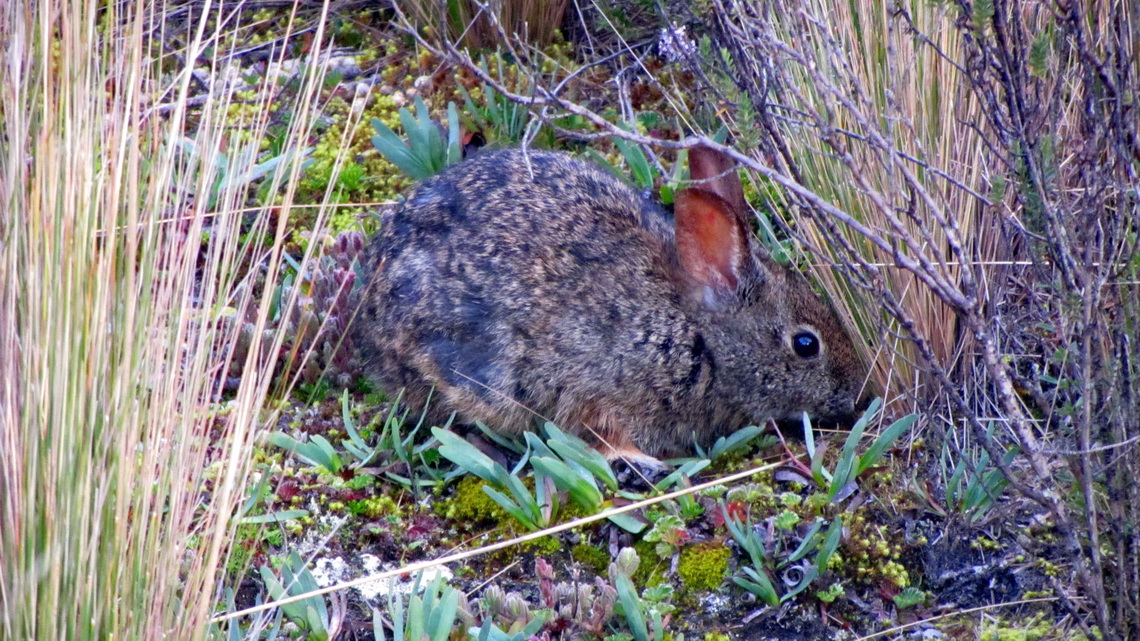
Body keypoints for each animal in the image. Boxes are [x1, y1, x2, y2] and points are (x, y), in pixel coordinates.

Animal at [355, 143, 861, 463]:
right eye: (805, 344)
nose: (858, 394)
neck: (697, 332)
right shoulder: (591, 381)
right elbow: (601, 431)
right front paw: (641, 460)